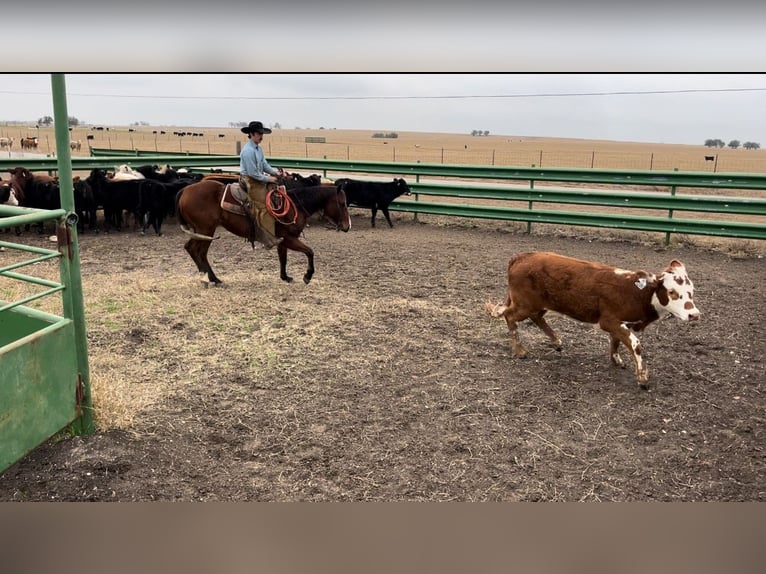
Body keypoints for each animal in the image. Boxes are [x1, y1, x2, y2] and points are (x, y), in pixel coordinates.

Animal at [176, 180, 352, 286]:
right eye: (342, 203)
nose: (347, 226)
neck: (295, 206)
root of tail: (185, 190)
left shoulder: (283, 241)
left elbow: (283, 259)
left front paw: (285, 277)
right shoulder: (289, 239)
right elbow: (310, 252)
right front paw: (307, 276)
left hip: (201, 231)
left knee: (191, 248)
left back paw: (207, 276)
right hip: (206, 230)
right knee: (198, 251)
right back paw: (211, 278)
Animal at [488, 251, 704, 388]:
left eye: (691, 291)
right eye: (672, 292)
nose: (694, 315)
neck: (637, 292)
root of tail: (520, 257)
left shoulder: (620, 323)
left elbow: (616, 341)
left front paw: (616, 360)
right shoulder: (610, 321)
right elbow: (635, 344)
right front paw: (642, 378)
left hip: (538, 305)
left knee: (537, 318)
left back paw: (557, 342)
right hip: (524, 304)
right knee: (509, 315)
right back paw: (520, 350)